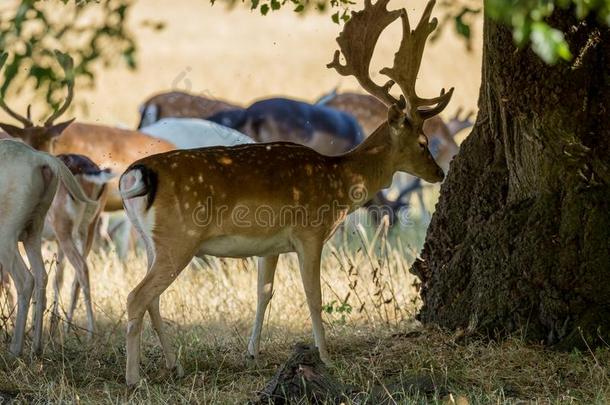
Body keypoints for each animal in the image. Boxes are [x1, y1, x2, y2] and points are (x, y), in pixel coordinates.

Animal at [120, 0, 452, 386]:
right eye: (423, 142)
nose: (439, 172)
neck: (339, 182)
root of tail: (136, 174)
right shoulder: (309, 233)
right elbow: (313, 296)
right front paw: (325, 357)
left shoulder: (270, 245)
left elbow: (264, 293)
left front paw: (252, 353)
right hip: (179, 238)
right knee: (137, 296)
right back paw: (134, 378)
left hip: (153, 242)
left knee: (152, 300)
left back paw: (175, 365)